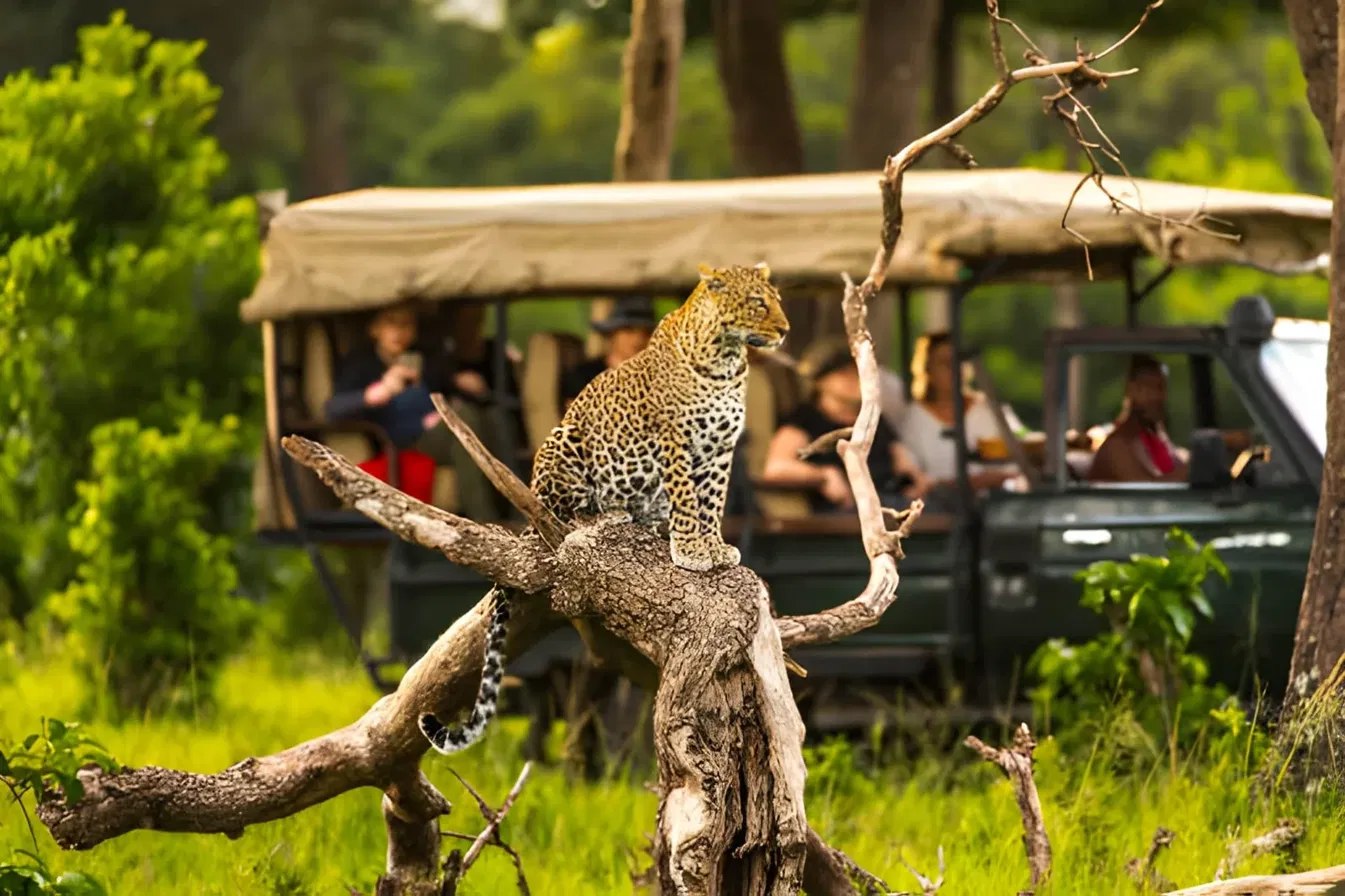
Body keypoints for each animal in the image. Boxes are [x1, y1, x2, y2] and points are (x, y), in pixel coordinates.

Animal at [420, 261, 791, 755]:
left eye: (776, 302)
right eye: (757, 304)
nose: (785, 330)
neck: (726, 361)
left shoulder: (720, 451)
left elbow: (711, 502)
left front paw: (712, 547)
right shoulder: (675, 441)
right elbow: (687, 500)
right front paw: (692, 551)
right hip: (563, 441)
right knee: (561, 511)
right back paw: (605, 515)